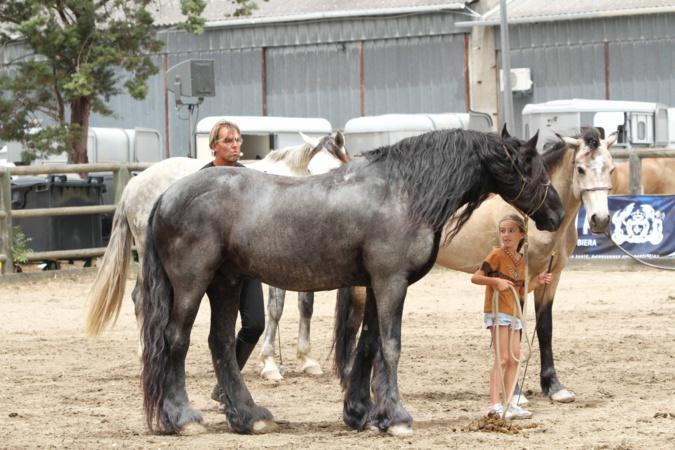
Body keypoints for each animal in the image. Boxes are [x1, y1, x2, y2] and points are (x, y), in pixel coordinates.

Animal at [86, 132, 348, 346]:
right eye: (312, 170)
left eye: (337, 169)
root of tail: (134, 184)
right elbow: (277, 308)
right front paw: (270, 364)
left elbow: (306, 305)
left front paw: (306, 360)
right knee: (142, 298)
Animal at [139, 126, 564, 436]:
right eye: (533, 168)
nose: (558, 214)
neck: (402, 192)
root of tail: (167, 195)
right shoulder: (391, 282)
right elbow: (390, 346)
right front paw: (396, 417)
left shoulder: (375, 285)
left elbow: (368, 345)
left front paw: (362, 413)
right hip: (192, 284)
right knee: (176, 340)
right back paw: (183, 417)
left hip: (226, 284)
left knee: (222, 343)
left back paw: (250, 416)